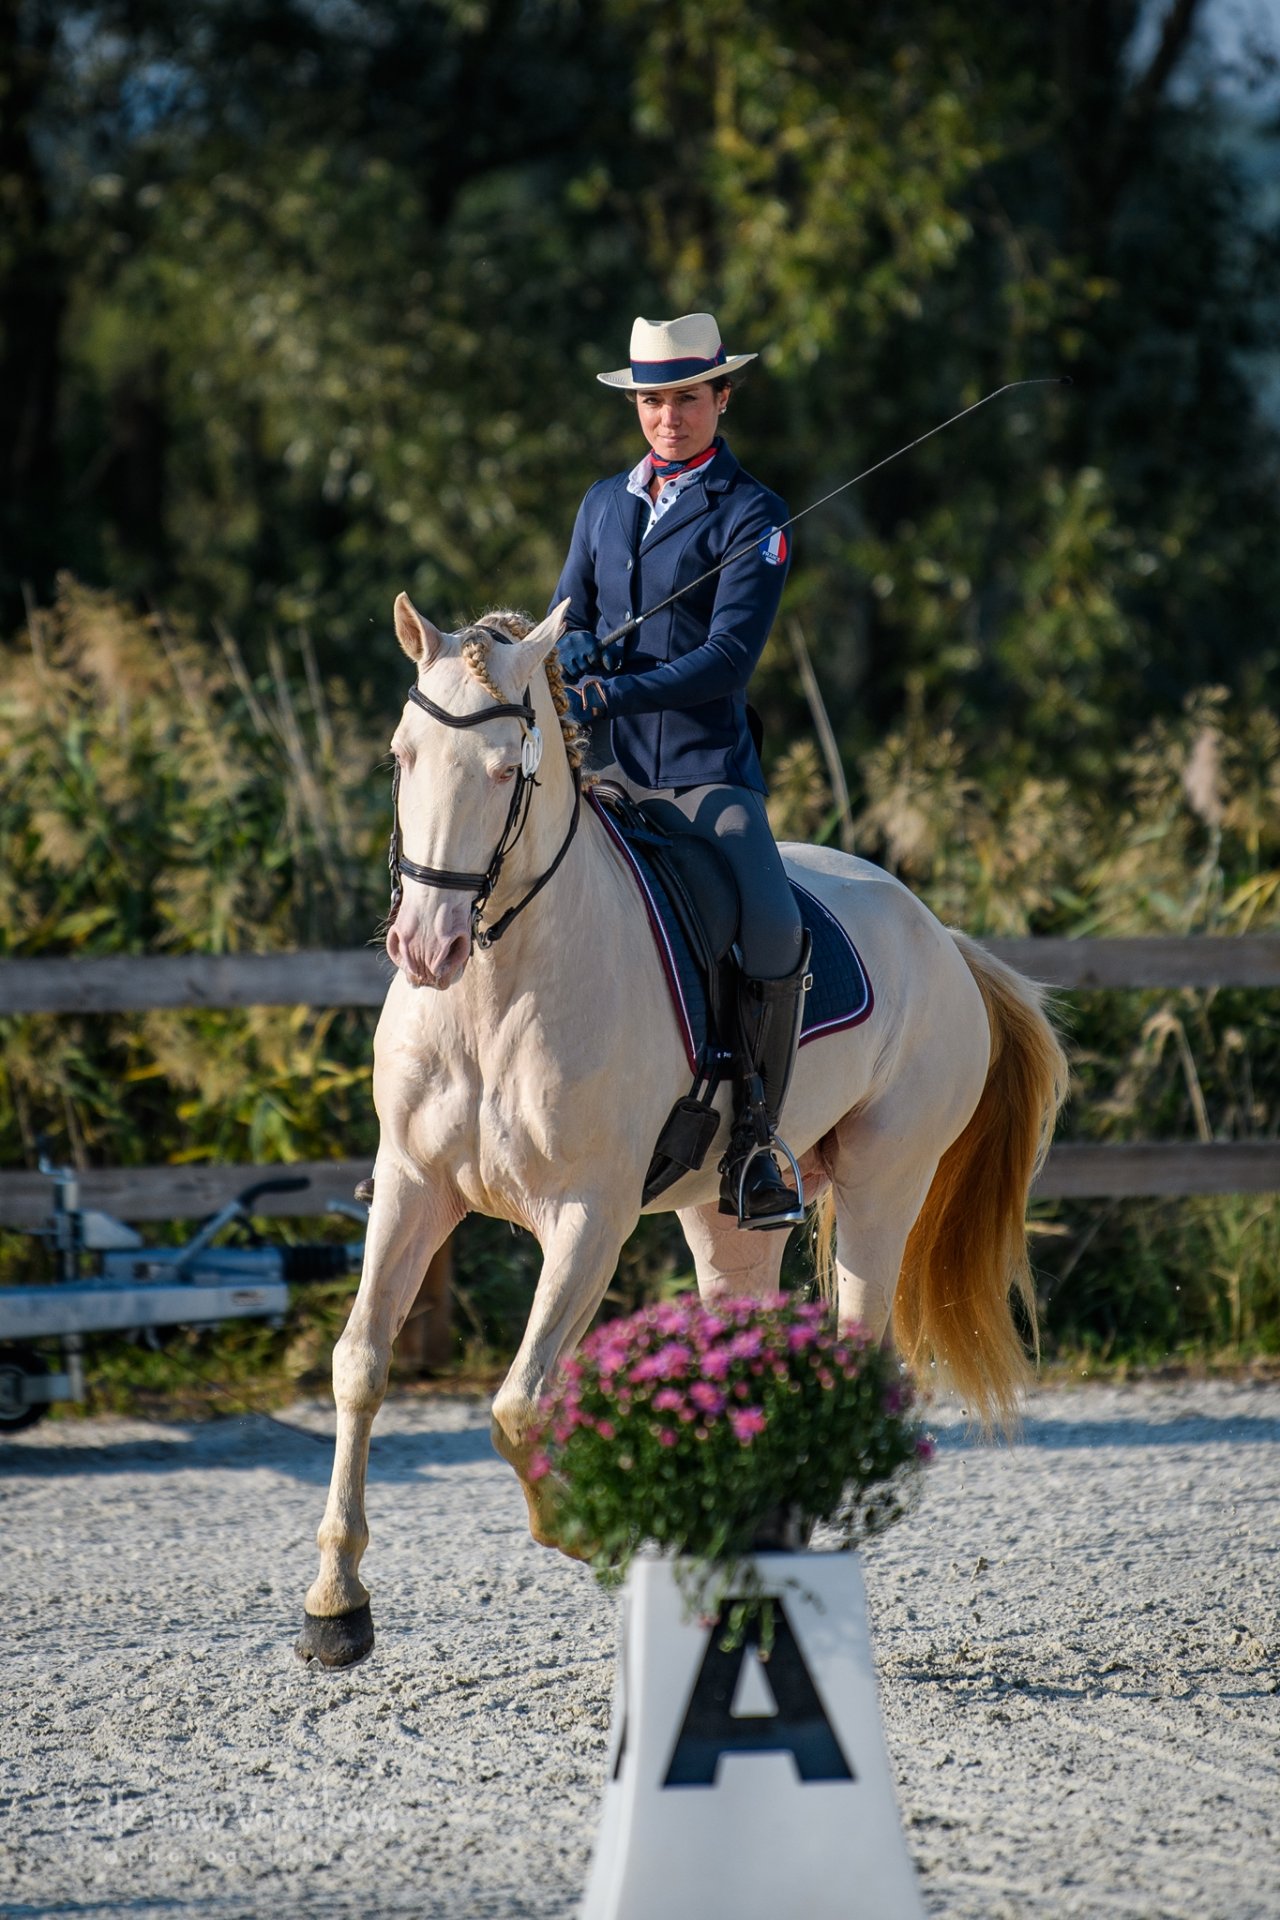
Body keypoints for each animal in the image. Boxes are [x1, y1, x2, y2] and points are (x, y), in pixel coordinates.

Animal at [295, 599, 1066, 1666]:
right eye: (403, 756)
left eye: (502, 771)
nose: (425, 947)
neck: (499, 985)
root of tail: (941, 938)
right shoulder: (412, 1185)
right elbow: (361, 1366)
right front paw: (336, 1604)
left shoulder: (589, 1216)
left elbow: (519, 1404)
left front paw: (582, 1531)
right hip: (727, 1214)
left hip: (886, 1182)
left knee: (856, 1353)